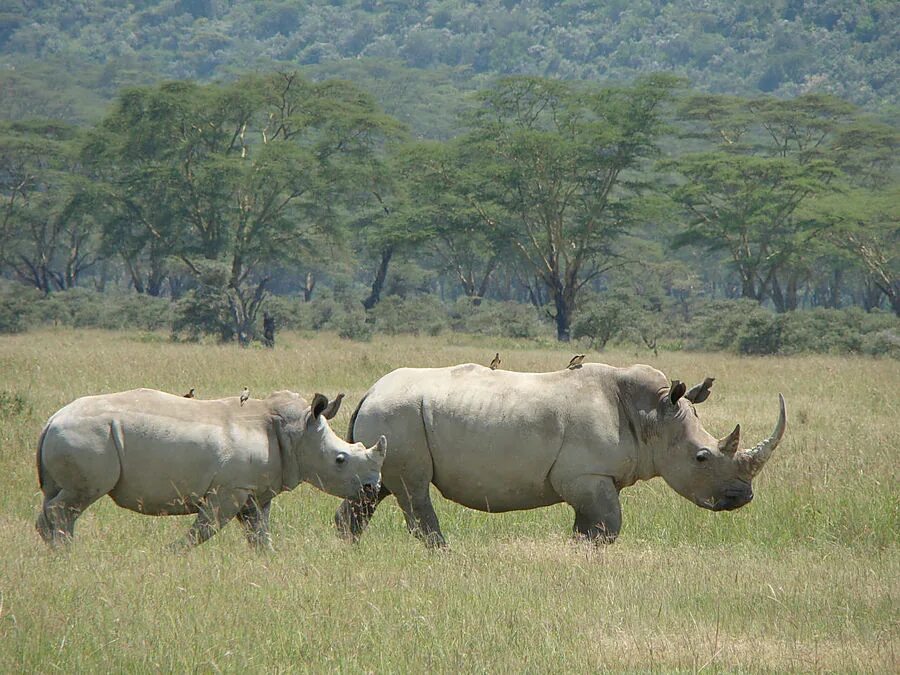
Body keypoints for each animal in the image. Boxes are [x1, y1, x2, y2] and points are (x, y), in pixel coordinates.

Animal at [36, 390, 384, 548]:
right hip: (87, 436)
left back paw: (55, 553)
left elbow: (260, 534)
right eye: (340, 460)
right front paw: (171, 553)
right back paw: (69, 552)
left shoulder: (254, 491)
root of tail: (51, 420)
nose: (373, 488)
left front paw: (268, 562)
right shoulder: (229, 490)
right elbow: (204, 530)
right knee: (75, 500)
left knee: (54, 498)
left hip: (73, 436)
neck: (297, 433)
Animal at [334, 362, 784, 548]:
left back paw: (347, 550)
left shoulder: (591, 479)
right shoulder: (587, 475)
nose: (742, 498)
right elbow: (607, 527)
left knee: (370, 492)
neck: (654, 416)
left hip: (388, 421)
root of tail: (368, 393)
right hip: (398, 416)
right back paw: (444, 555)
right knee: (413, 491)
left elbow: (589, 527)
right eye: (702, 458)